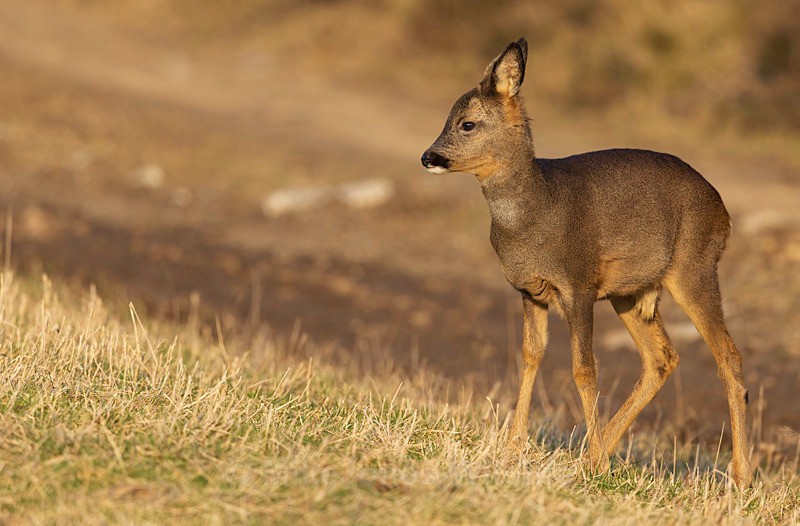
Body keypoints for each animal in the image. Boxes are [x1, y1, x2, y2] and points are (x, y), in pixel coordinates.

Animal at [421, 37, 752, 488]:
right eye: (448, 118)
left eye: (467, 124)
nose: (428, 157)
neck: (538, 209)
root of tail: (725, 214)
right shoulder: (530, 289)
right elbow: (530, 356)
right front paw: (512, 452)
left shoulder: (578, 285)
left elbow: (584, 369)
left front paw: (589, 465)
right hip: (630, 293)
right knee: (662, 357)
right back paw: (594, 455)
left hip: (694, 266)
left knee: (728, 356)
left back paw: (741, 477)